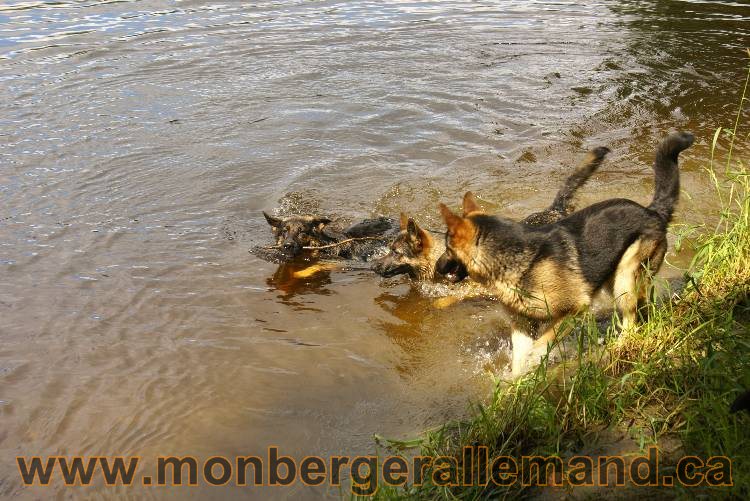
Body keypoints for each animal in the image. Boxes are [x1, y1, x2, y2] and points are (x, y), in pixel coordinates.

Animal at [438, 131, 696, 374]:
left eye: (448, 248)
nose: (437, 268)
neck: (518, 261)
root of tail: (653, 211)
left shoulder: (574, 309)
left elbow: (541, 344)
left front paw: (537, 363)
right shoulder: (521, 326)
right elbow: (519, 361)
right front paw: (515, 383)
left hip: (625, 278)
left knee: (630, 323)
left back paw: (619, 349)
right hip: (616, 280)